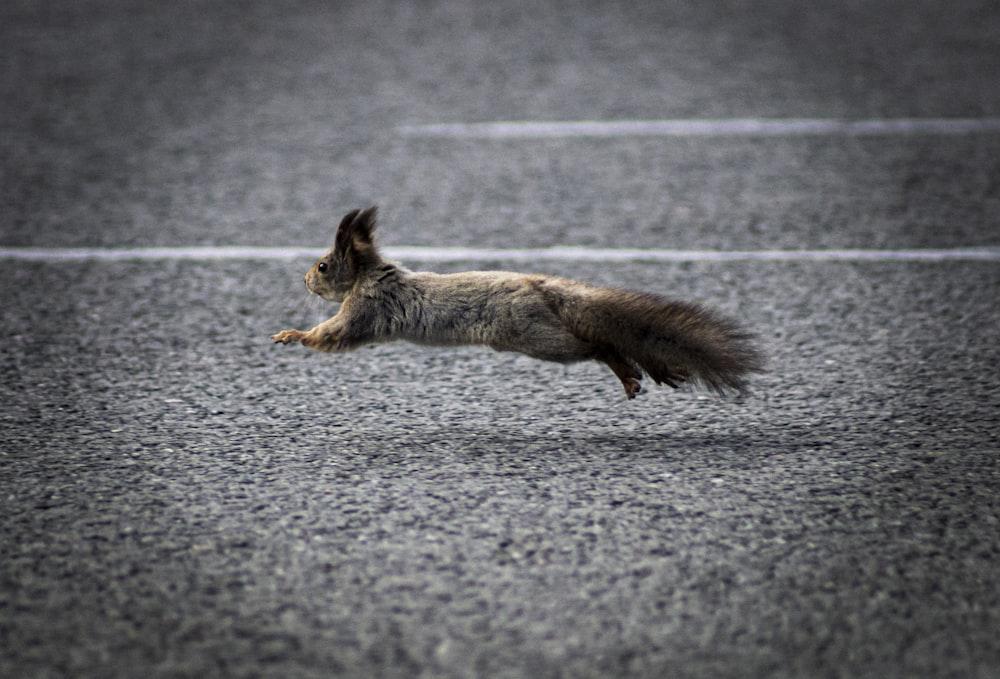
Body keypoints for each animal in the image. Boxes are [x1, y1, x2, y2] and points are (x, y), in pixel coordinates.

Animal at [270, 207, 760, 398]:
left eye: (323, 266)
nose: (305, 280)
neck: (372, 273)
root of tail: (539, 285)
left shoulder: (365, 310)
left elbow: (331, 335)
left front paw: (291, 334)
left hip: (535, 336)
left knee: (598, 346)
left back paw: (628, 373)